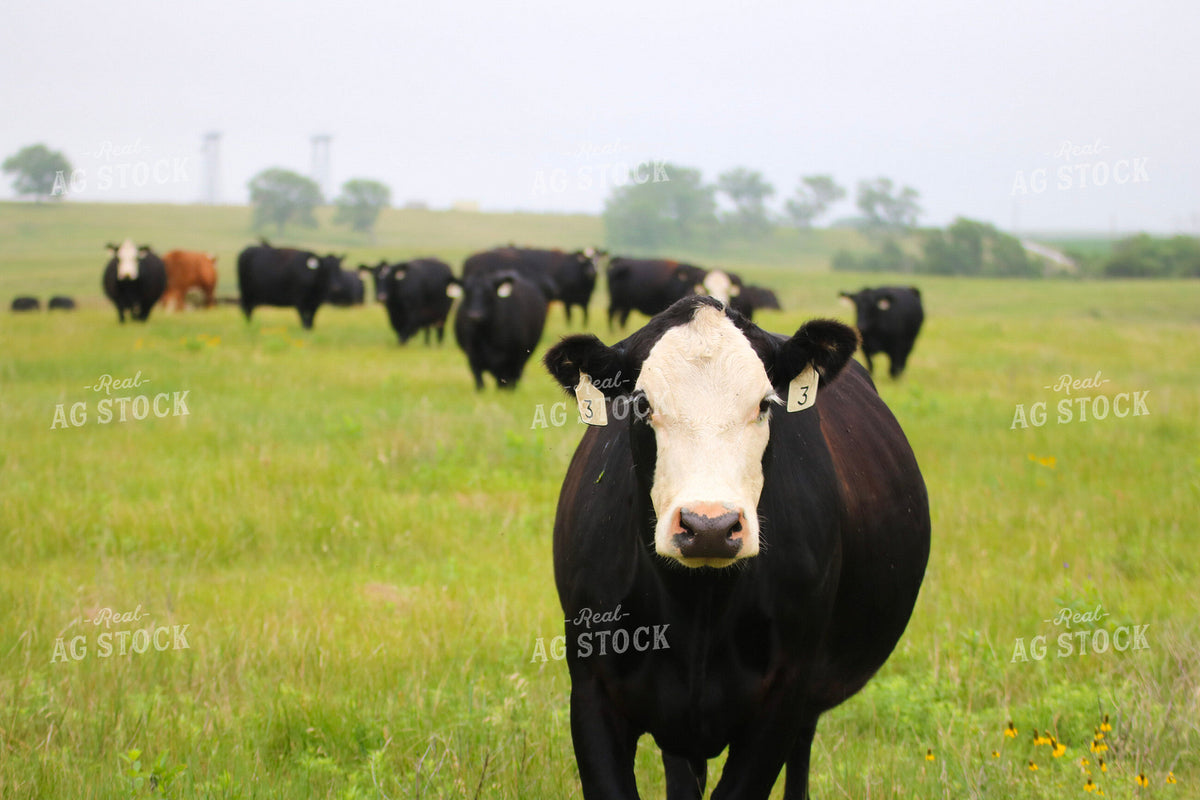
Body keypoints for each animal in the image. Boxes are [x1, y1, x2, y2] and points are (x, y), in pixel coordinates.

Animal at [542, 295, 930, 799]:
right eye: (642, 403)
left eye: (765, 404)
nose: (709, 525)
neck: (697, 609)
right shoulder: (593, 691)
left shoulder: (783, 696)